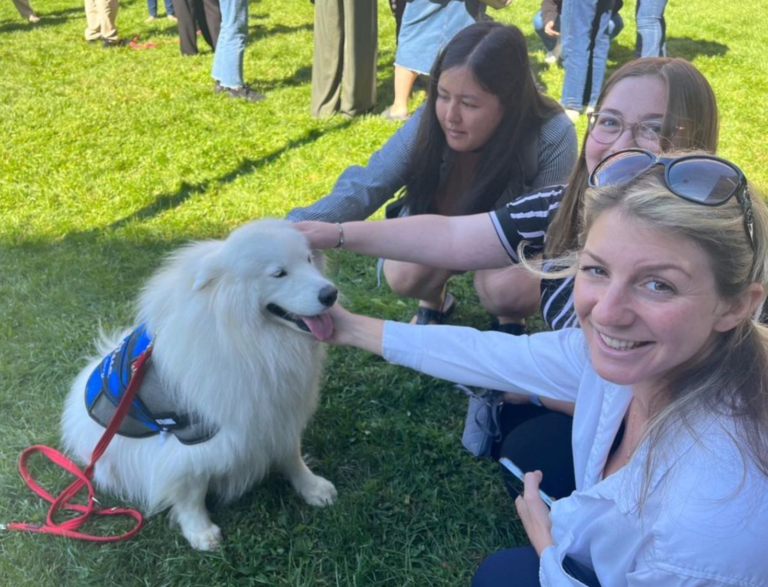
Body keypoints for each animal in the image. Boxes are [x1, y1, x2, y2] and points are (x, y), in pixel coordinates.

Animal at [64, 219, 340, 552]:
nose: (331, 294)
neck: (249, 338)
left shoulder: (274, 413)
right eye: (278, 273)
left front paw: (313, 488)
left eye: (309, 260)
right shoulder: (190, 440)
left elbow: (292, 456)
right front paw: (200, 531)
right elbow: (190, 488)